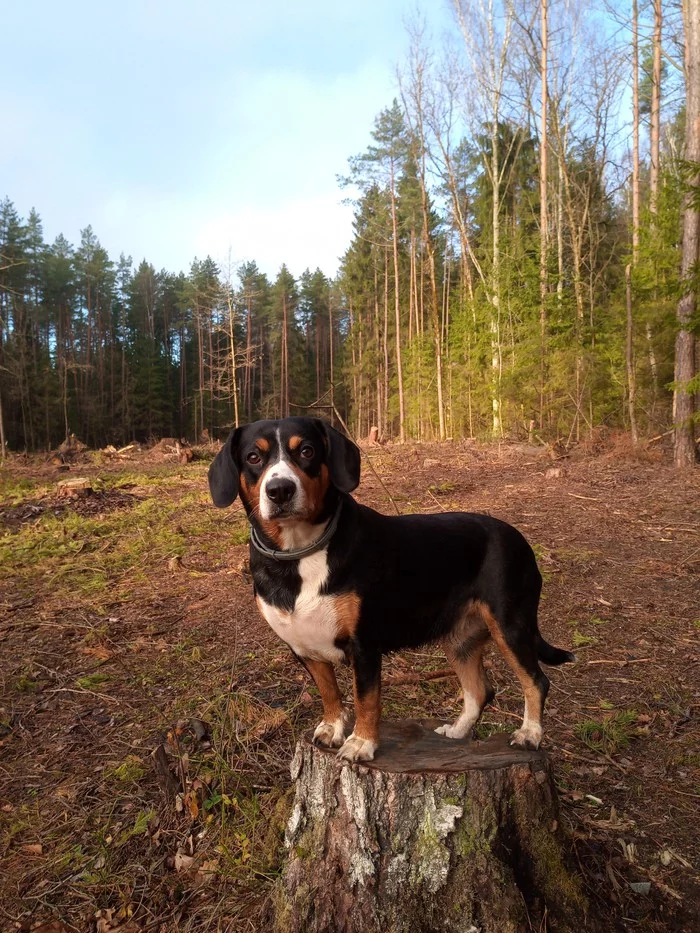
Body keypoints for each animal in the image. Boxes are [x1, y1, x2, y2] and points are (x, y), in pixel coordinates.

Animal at [208, 418, 576, 760]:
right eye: (254, 457)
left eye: (307, 451)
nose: (280, 489)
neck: (297, 557)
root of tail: (520, 539)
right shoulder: (303, 646)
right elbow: (329, 691)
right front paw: (332, 728)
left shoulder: (365, 643)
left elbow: (366, 699)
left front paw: (361, 743)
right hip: (460, 639)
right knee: (479, 690)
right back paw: (457, 732)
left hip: (510, 624)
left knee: (536, 681)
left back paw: (529, 734)